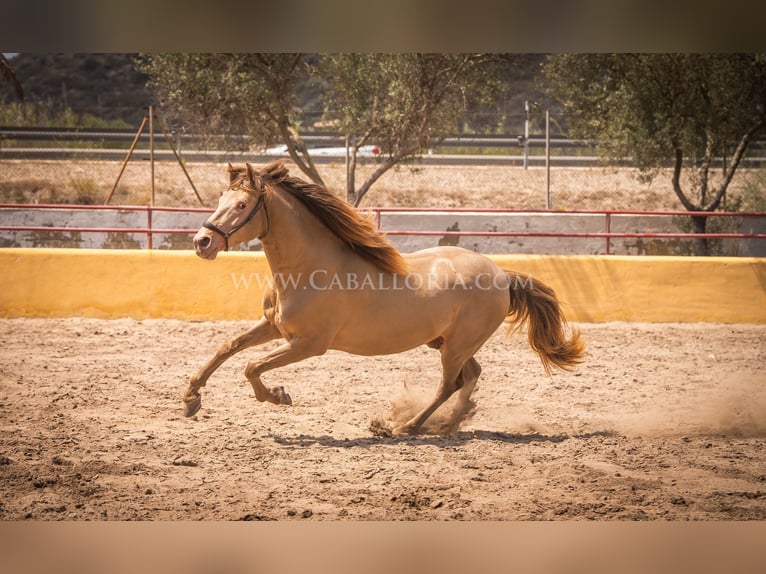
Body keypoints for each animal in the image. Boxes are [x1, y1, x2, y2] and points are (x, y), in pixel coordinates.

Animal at [183, 162, 584, 436]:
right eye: (221, 199)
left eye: (241, 205)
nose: (202, 242)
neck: (308, 267)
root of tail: (502, 274)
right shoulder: (273, 326)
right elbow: (228, 346)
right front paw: (190, 398)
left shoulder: (308, 345)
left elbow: (252, 366)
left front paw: (279, 395)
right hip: (446, 342)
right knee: (471, 376)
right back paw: (446, 424)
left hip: (457, 345)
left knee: (449, 384)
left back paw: (406, 427)